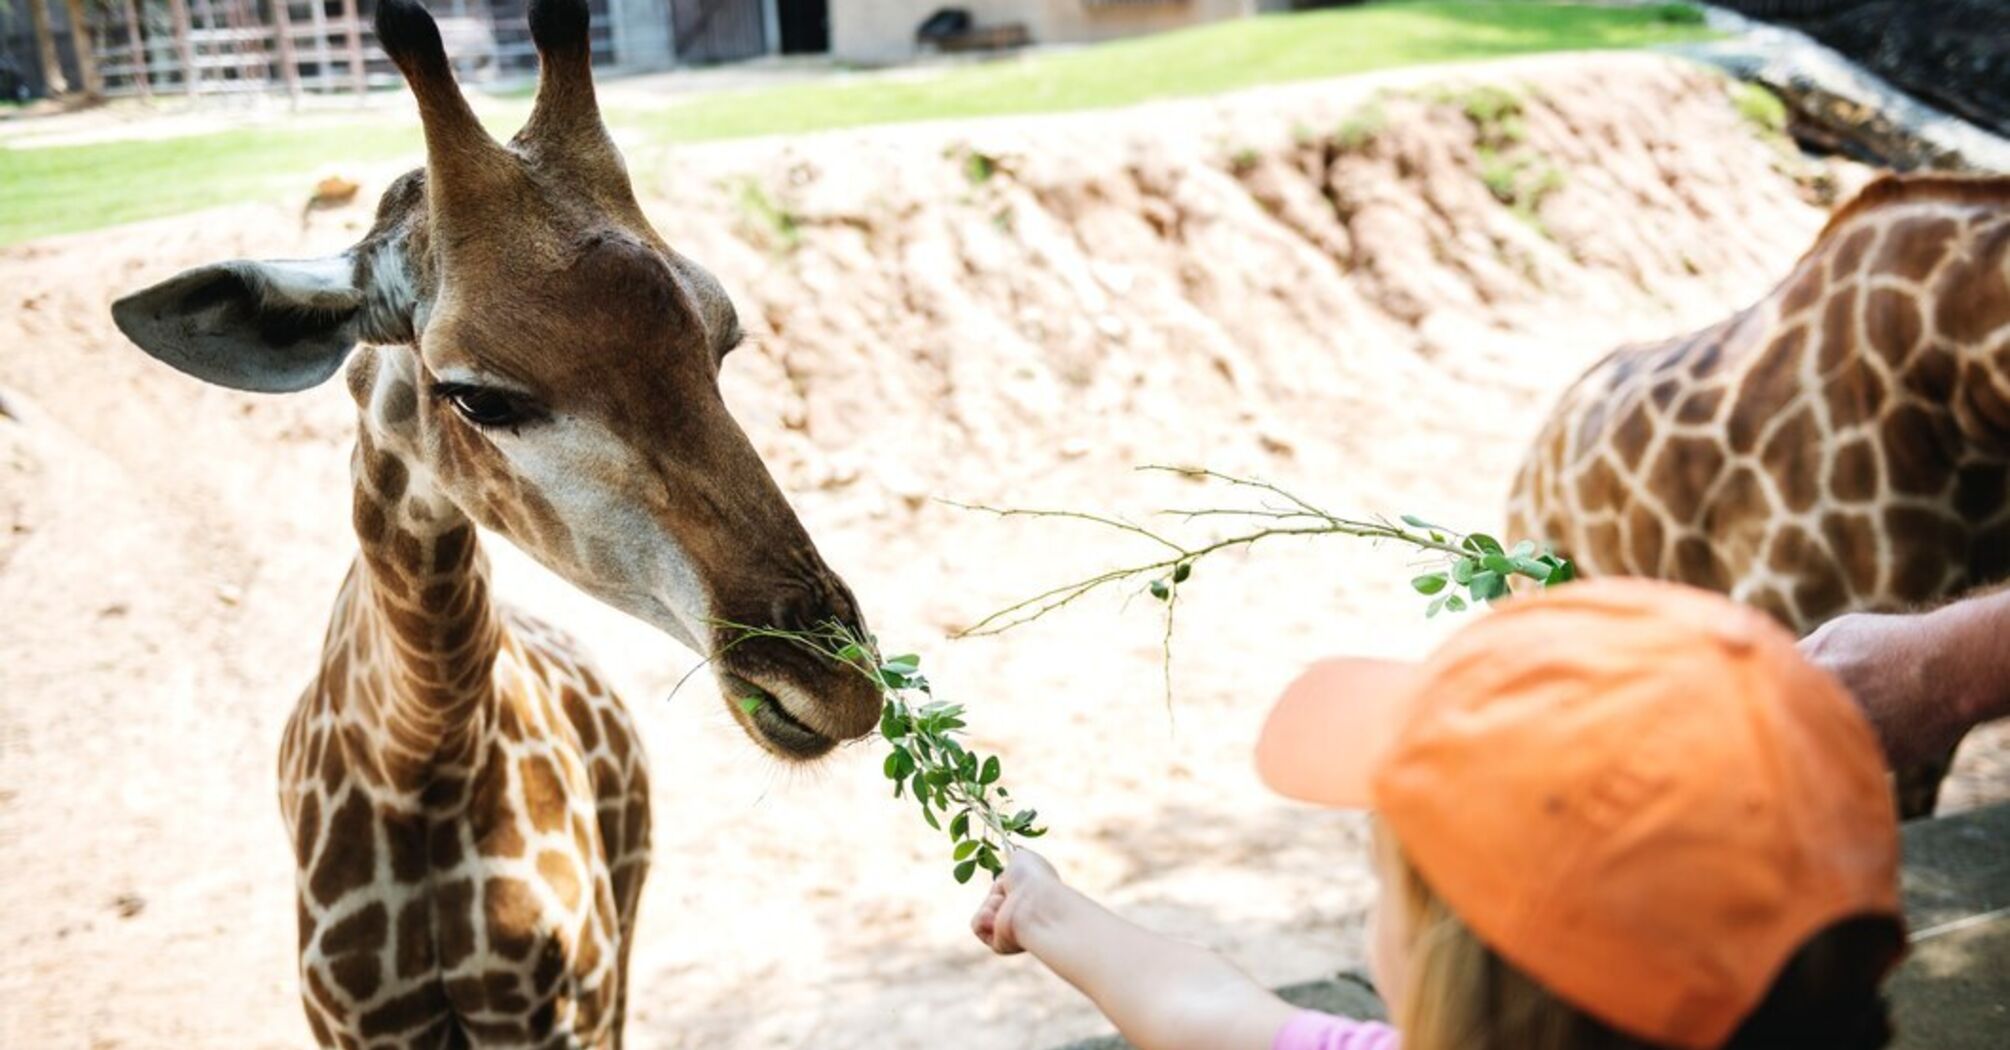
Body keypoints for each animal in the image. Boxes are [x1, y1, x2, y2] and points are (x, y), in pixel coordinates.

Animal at [97, 4, 876, 1037]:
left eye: (722, 341)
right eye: (477, 396)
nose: (837, 681)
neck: (421, 751)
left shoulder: (566, 1005)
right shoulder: (352, 1023)